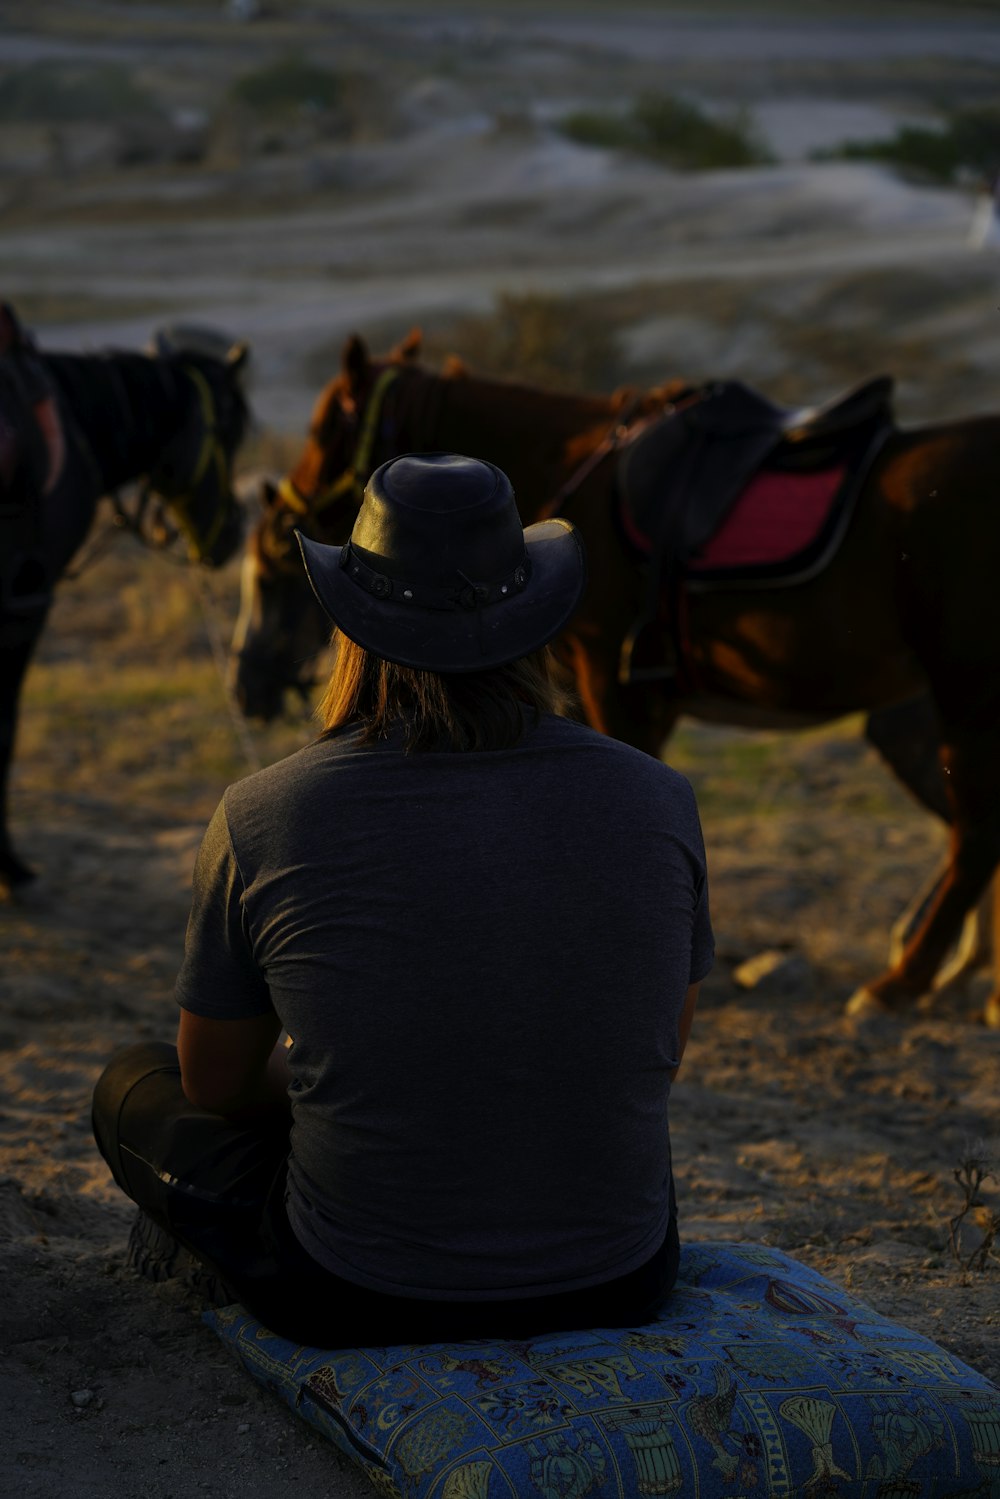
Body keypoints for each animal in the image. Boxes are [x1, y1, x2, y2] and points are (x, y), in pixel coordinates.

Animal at [230, 332, 1000, 1025]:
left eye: (326, 428)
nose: (248, 687)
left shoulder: (614, 682)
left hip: (963, 685)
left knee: (975, 833)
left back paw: (902, 982)